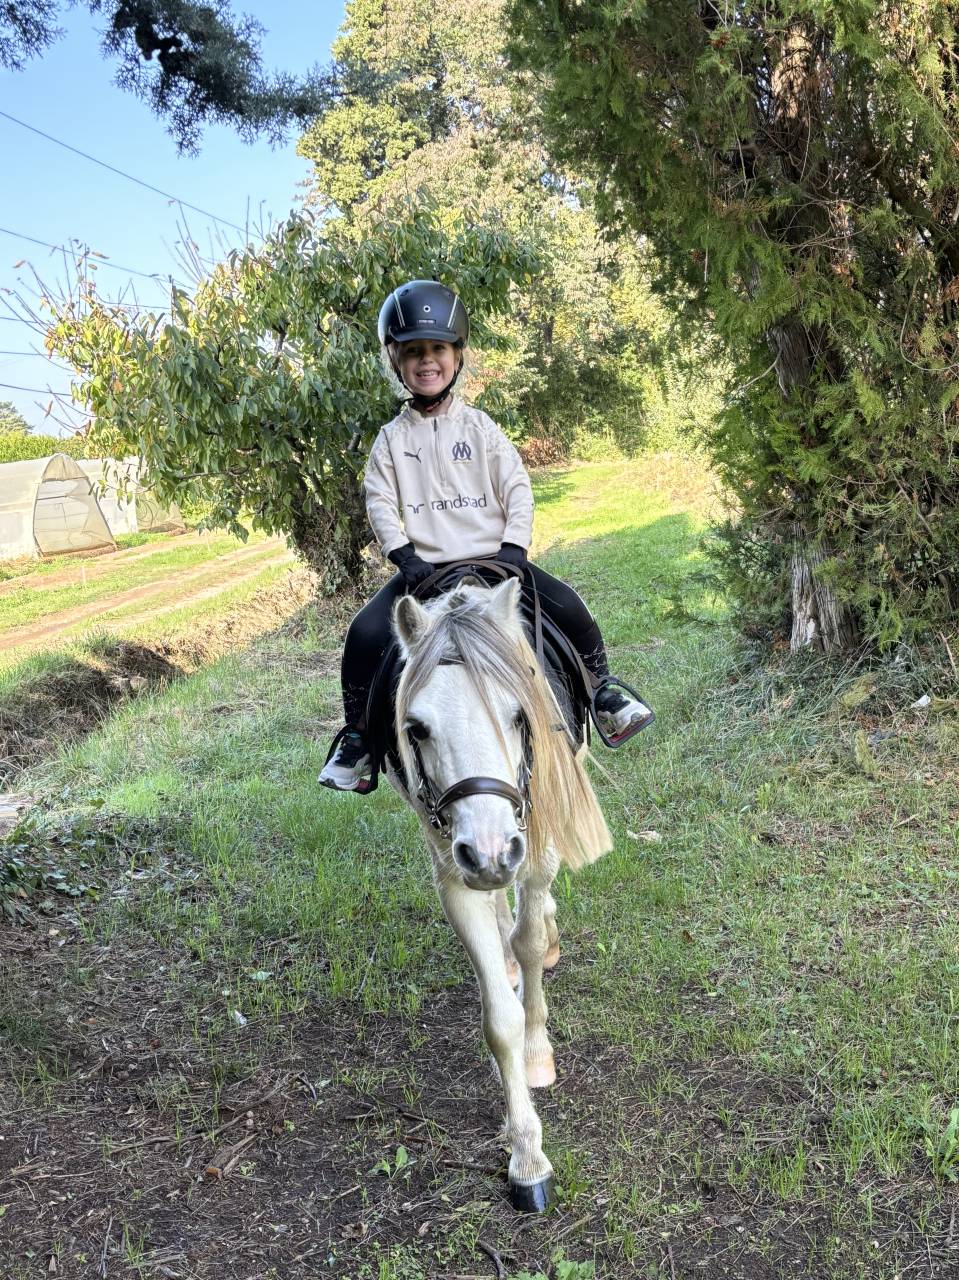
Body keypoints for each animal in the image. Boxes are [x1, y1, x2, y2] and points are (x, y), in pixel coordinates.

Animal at [389, 573, 612, 1211]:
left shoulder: (533, 846)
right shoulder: (454, 868)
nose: (491, 852)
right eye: (417, 729)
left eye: (519, 716)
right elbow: (498, 1016)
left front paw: (537, 1052)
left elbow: (532, 938)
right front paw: (527, 1157)